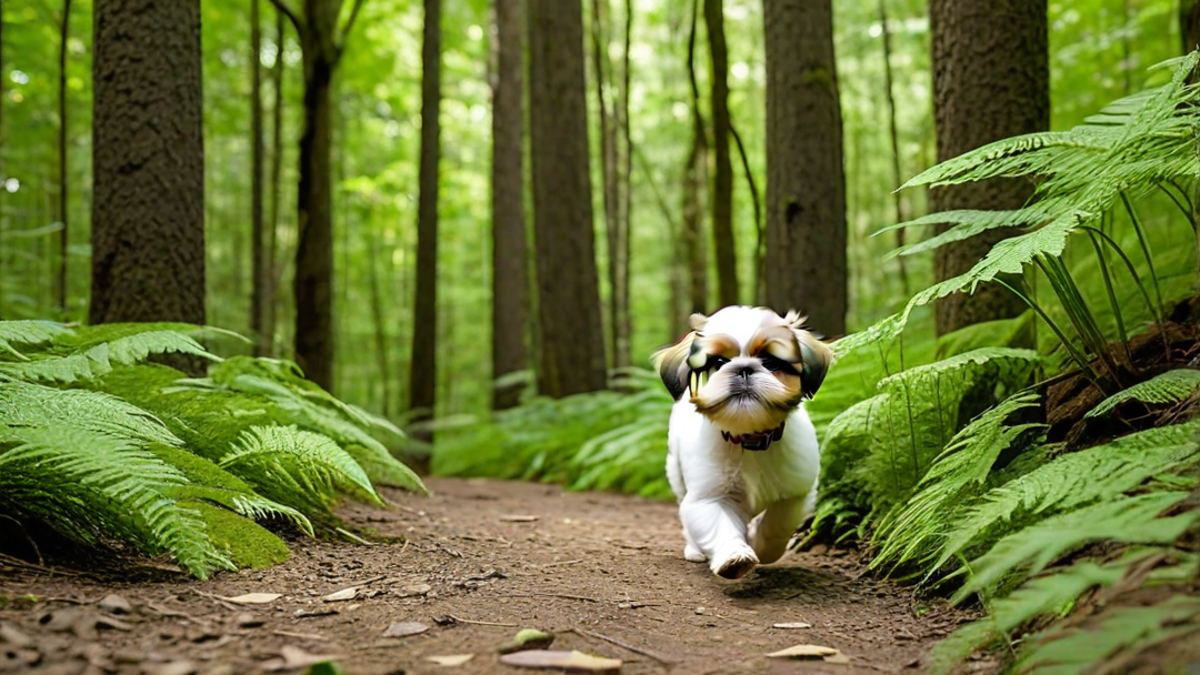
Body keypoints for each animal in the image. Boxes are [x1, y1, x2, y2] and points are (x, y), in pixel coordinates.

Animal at [652, 305, 830, 578]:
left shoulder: (796, 492)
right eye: (719, 363)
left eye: (771, 362)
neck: (749, 436)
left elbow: (778, 522)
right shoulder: (709, 496)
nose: (744, 368)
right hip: (677, 473)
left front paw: (762, 546)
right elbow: (719, 524)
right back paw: (694, 550)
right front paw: (735, 556)